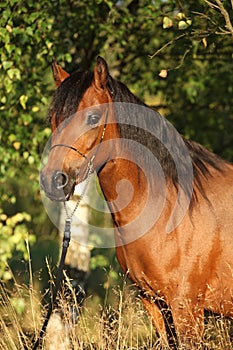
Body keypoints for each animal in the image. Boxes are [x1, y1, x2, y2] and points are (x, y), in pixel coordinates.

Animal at [40, 56, 233, 348]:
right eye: (53, 118)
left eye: (93, 117)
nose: (53, 180)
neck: (172, 209)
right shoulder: (155, 304)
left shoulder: (187, 309)